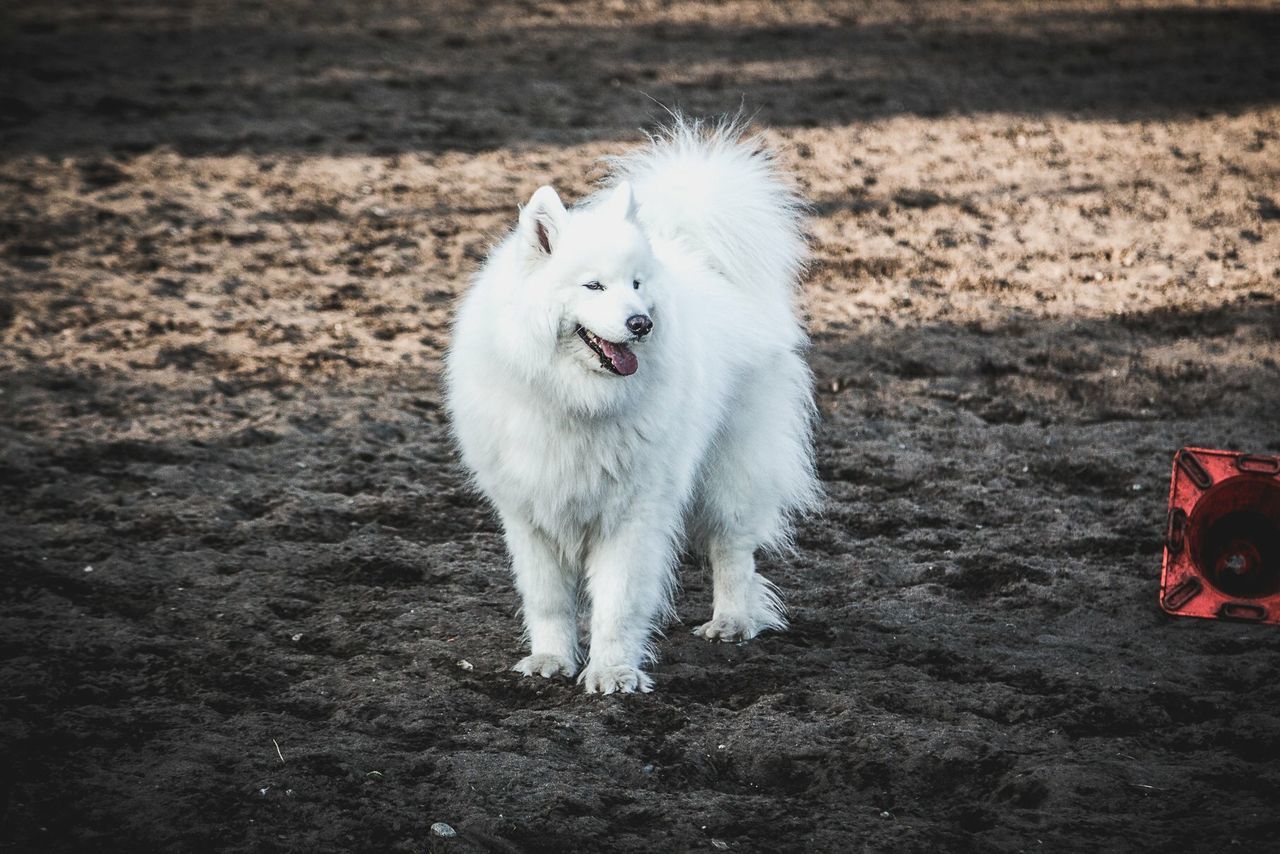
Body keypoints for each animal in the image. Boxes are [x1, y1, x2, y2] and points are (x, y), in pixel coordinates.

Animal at [445, 117, 814, 691]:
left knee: (732, 547)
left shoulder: (633, 512)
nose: (641, 322)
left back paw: (731, 621)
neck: (577, 401)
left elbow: (617, 603)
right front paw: (551, 659)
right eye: (593, 285)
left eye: (637, 284)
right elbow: (548, 599)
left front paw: (613, 672)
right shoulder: (529, 512)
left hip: (732, 470)